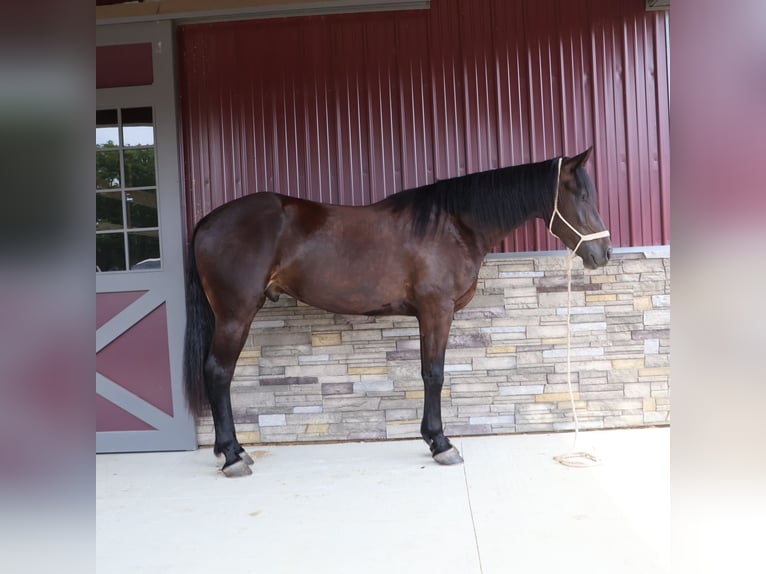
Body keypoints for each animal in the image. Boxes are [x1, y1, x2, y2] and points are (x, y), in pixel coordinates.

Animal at [183, 147, 612, 477]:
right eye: (581, 196)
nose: (603, 253)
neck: (453, 225)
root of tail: (207, 221)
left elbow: (428, 372)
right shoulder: (437, 310)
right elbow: (433, 374)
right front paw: (442, 444)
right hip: (235, 315)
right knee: (218, 373)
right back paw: (233, 455)